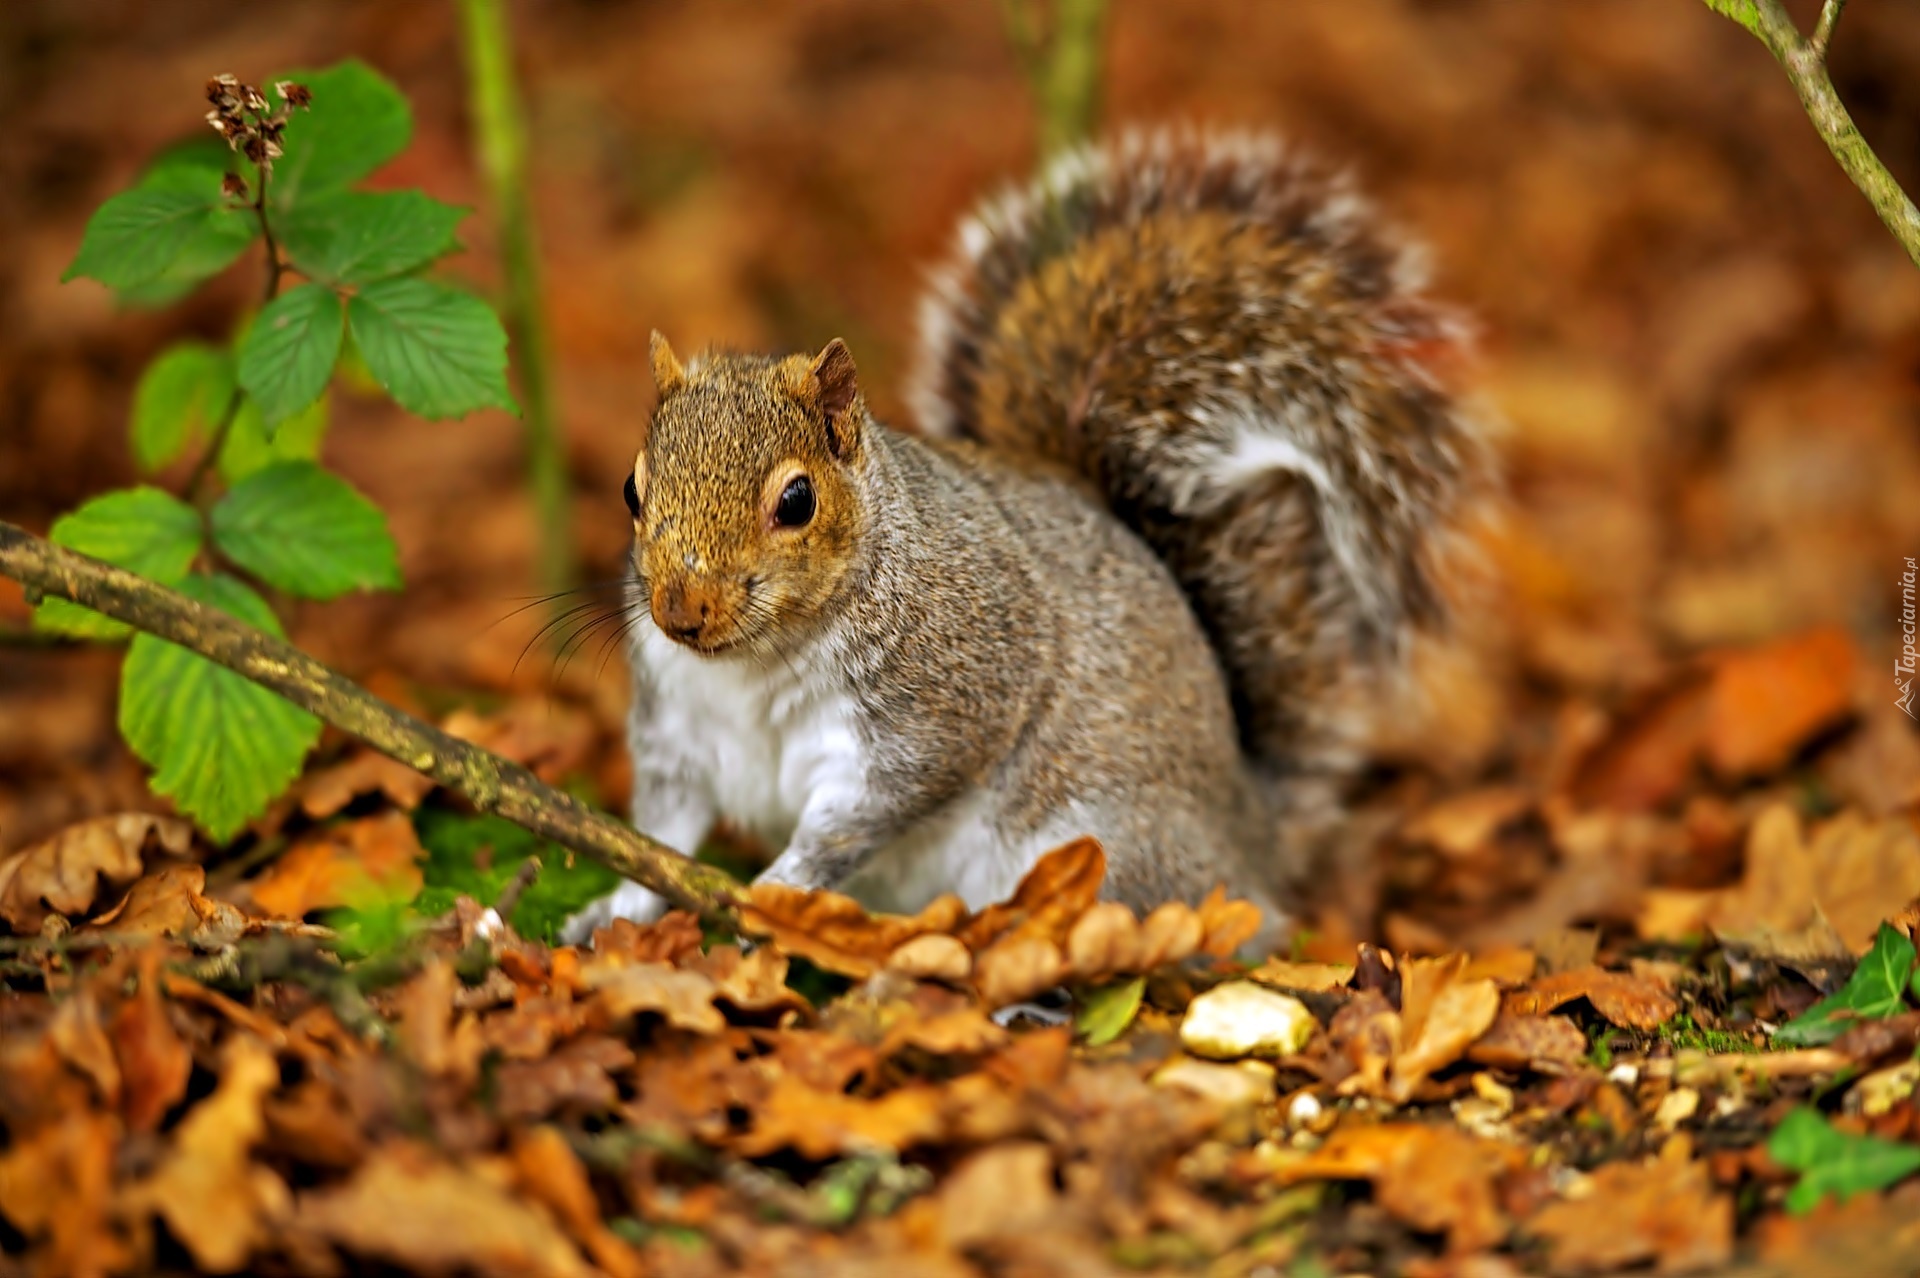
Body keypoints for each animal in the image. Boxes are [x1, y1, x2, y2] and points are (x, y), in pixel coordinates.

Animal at [560, 129, 1489, 944]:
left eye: (796, 501)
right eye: (632, 491)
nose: (681, 612)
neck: (753, 662)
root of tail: (1248, 837)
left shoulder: (940, 710)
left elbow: (854, 819)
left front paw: (776, 889)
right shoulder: (678, 729)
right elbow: (666, 826)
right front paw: (615, 907)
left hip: (1102, 848)